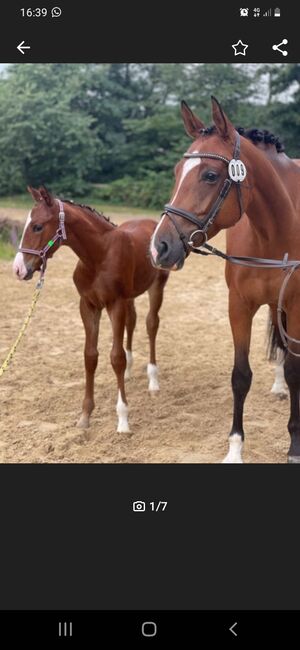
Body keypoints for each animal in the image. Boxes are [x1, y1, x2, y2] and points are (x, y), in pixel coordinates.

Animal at [12, 185, 169, 432]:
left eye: (37, 226)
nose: (18, 269)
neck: (99, 256)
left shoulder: (115, 304)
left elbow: (116, 357)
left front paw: (123, 420)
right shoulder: (88, 305)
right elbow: (90, 356)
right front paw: (85, 415)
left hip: (156, 286)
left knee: (151, 324)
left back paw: (153, 381)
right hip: (130, 297)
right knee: (132, 323)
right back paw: (131, 372)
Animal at [150, 96, 300, 460]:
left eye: (209, 174)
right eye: (176, 173)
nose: (159, 246)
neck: (276, 229)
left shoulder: (297, 306)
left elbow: (295, 370)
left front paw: (294, 445)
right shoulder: (239, 306)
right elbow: (241, 376)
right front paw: (234, 450)